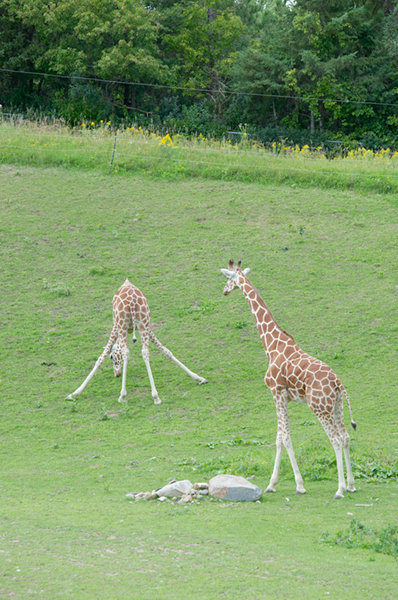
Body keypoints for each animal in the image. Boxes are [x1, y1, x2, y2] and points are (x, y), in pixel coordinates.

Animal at [66, 280, 207, 404]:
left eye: (112, 357)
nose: (117, 374)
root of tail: (132, 302)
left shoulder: (115, 327)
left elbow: (101, 357)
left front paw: (74, 393)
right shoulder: (146, 327)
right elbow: (166, 351)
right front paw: (199, 378)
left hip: (123, 325)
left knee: (126, 352)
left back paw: (122, 396)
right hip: (143, 323)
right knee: (145, 352)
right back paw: (156, 397)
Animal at [221, 260, 358, 500]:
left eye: (229, 278)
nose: (224, 291)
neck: (271, 344)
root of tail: (338, 383)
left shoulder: (276, 391)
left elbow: (284, 438)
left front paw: (298, 485)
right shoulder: (283, 396)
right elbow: (279, 437)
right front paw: (272, 484)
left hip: (319, 407)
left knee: (335, 439)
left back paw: (339, 489)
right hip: (336, 406)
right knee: (346, 436)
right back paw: (350, 484)